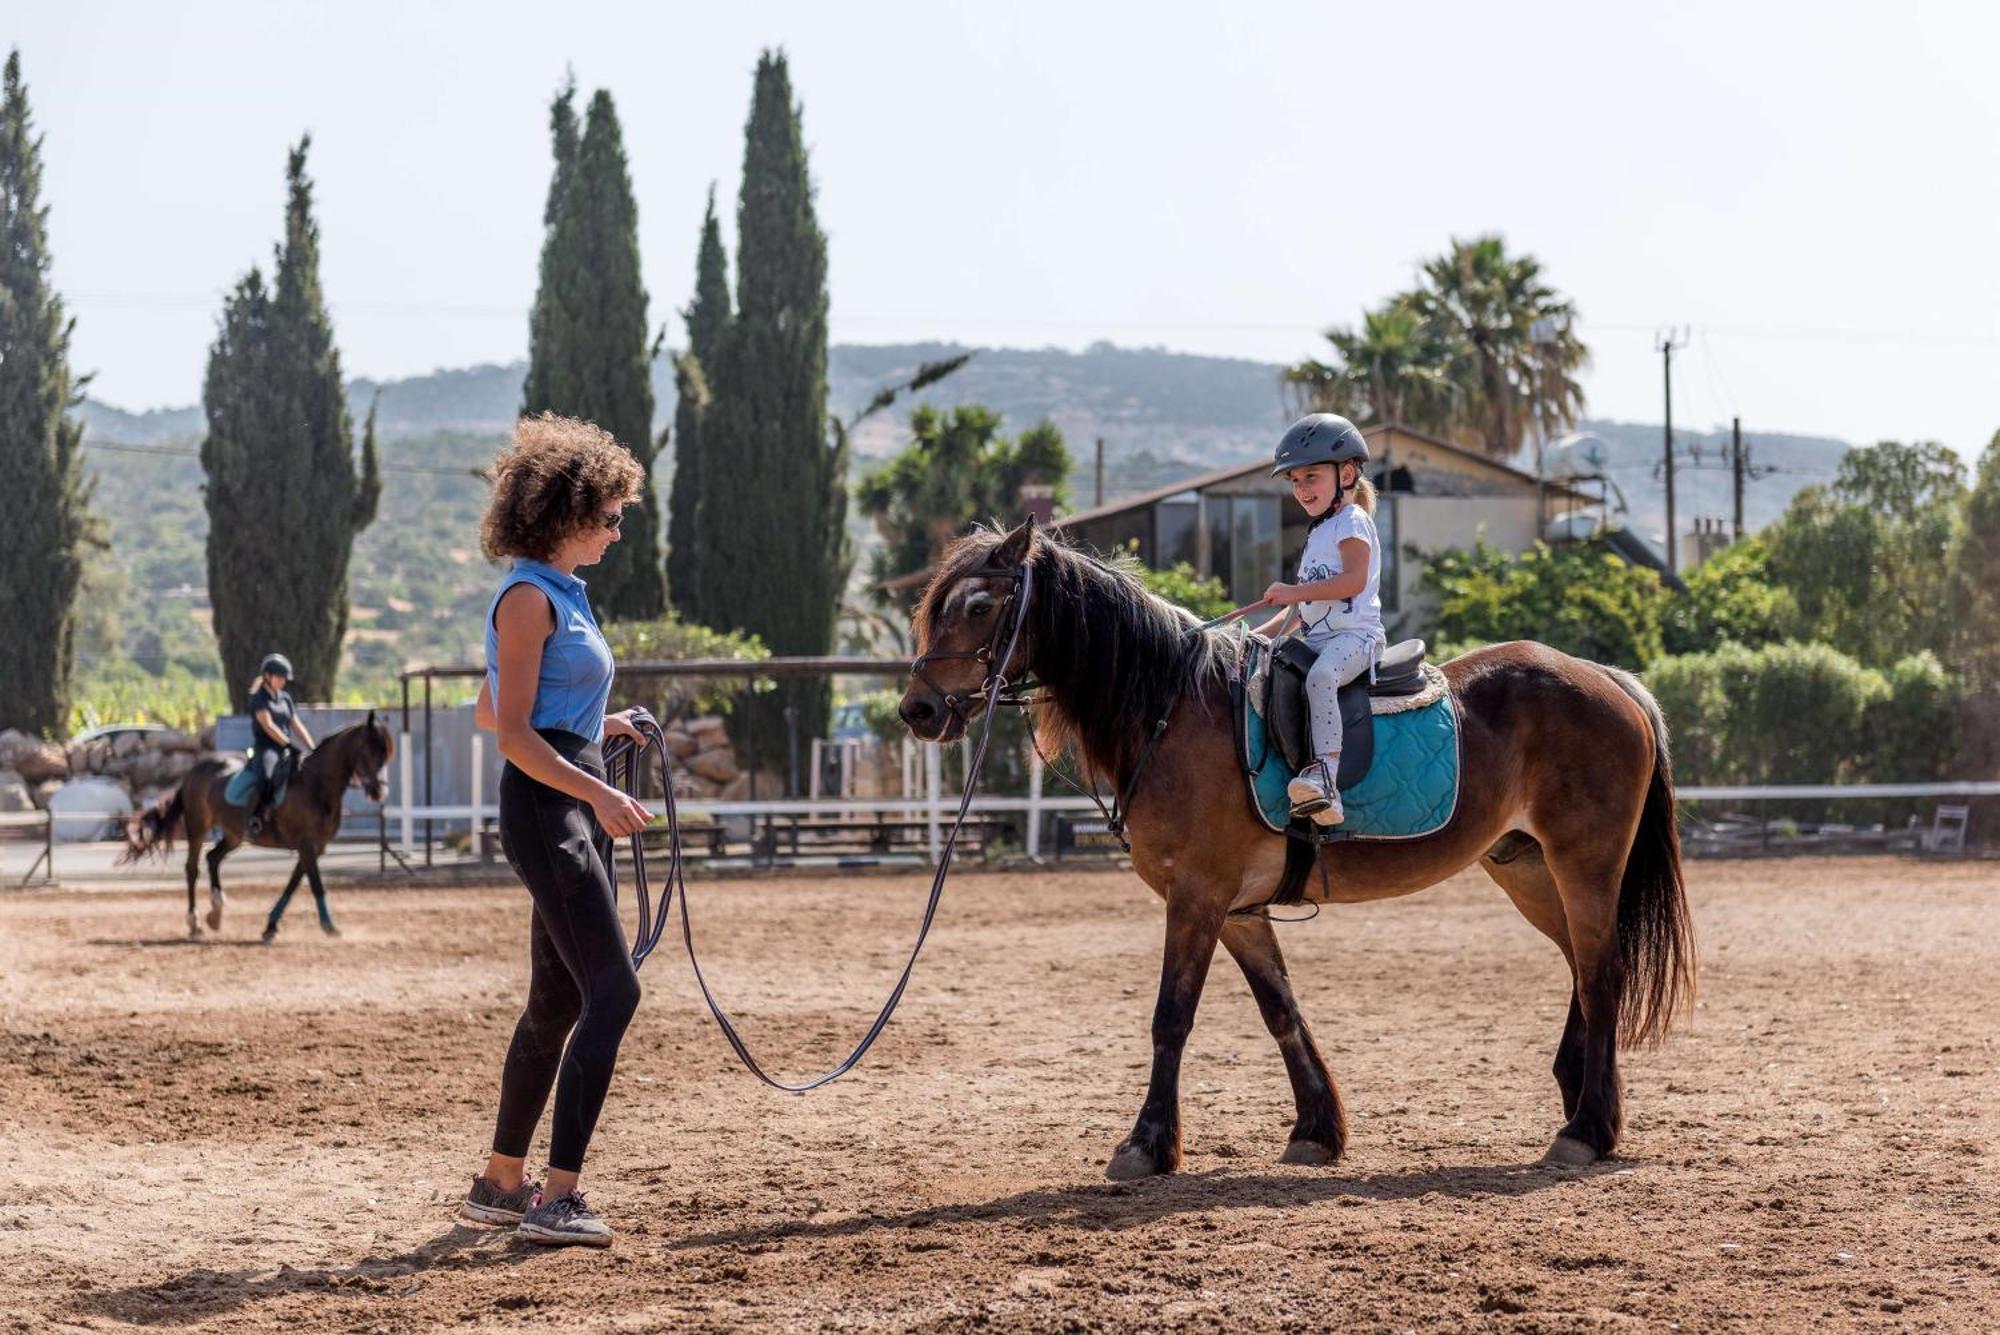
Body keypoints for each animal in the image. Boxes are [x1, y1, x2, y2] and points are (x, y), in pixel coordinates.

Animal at [124, 715, 394, 943]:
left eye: (385, 755)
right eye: (368, 752)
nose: (378, 792)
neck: (316, 784)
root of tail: (194, 771)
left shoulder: (314, 847)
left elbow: (293, 884)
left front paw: (271, 927)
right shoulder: (306, 844)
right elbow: (316, 884)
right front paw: (329, 927)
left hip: (234, 834)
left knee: (213, 858)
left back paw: (216, 914)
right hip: (198, 827)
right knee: (192, 868)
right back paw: (195, 924)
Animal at [900, 519, 1696, 1175]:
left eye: (979, 606)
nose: (919, 709)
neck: (1169, 709)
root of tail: (1610, 680)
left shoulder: (1197, 898)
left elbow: (1171, 1018)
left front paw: (1146, 1144)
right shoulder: (1238, 911)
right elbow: (1281, 1012)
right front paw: (1316, 1129)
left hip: (1584, 863)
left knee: (1602, 974)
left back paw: (1586, 1129)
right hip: (1528, 869)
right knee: (1586, 970)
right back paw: (1587, 1106)